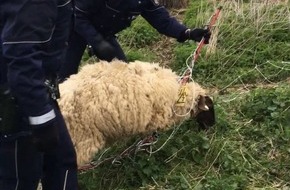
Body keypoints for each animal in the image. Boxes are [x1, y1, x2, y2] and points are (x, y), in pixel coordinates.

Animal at [57, 60, 214, 166]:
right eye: (209, 109)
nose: (212, 126)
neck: (178, 96)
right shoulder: (152, 122)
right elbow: (147, 140)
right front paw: (145, 152)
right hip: (80, 143)